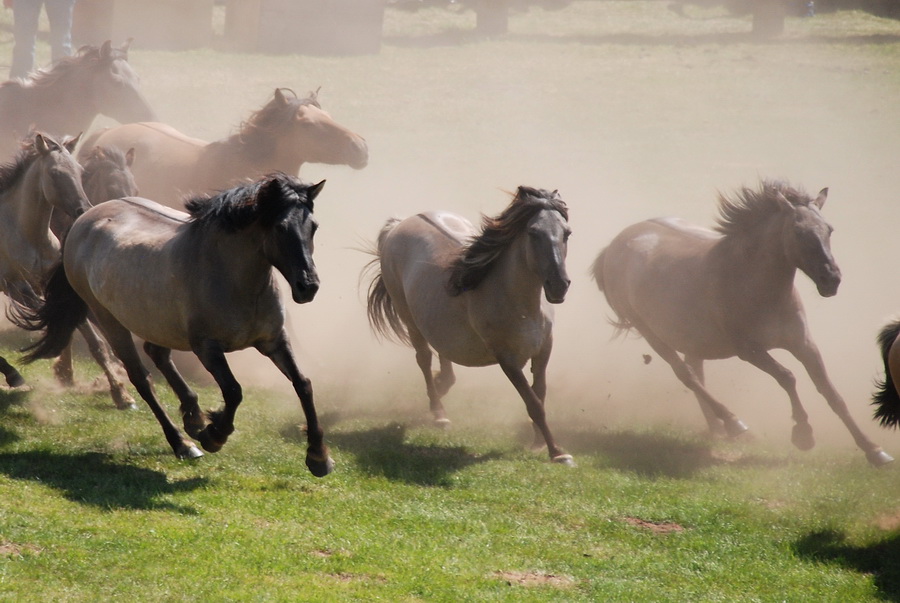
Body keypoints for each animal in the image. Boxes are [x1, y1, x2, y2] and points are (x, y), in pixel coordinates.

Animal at [12, 173, 336, 476]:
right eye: (280, 228)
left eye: (313, 227)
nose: (308, 287)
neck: (231, 276)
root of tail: (84, 218)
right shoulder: (207, 348)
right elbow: (234, 391)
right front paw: (214, 434)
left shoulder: (274, 340)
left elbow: (303, 384)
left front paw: (319, 457)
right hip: (108, 318)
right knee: (141, 377)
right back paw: (183, 442)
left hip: (156, 321)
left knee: (157, 353)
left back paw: (192, 417)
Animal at [362, 189, 572, 468]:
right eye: (533, 233)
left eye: (566, 233)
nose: (559, 285)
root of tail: (401, 222)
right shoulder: (507, 359)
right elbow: (534, 403)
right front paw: (558, 452)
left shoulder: (543, 350)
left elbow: (540, 395)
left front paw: (538, 443)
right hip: (408, 318)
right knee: (424, 358)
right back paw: (439, 413)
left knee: (442, 354)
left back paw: (441, 385)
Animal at [592, 179, 892, 468]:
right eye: (798, 232)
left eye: (829, 229)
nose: (832, 280)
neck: (755, 284)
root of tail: (614, 245)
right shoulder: (749, 350)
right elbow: (788, 377)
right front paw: (803, 435)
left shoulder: (804, 344)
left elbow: (831, 393)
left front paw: (874, 451)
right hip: (650, 333)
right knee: (686, 375)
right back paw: (734, 423)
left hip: (692, 339)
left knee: (696, 371)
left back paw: (718, 428)